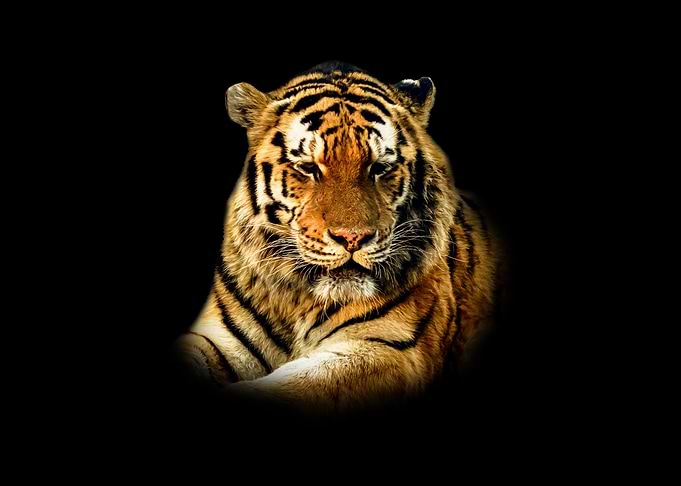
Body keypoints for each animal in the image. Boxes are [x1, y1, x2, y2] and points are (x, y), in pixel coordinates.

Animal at [175, 61, 503, 412]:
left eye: (380, 167)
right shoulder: (221, 338)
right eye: (308, 167)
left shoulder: (388, 347)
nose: (352, 238)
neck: (297, 300)